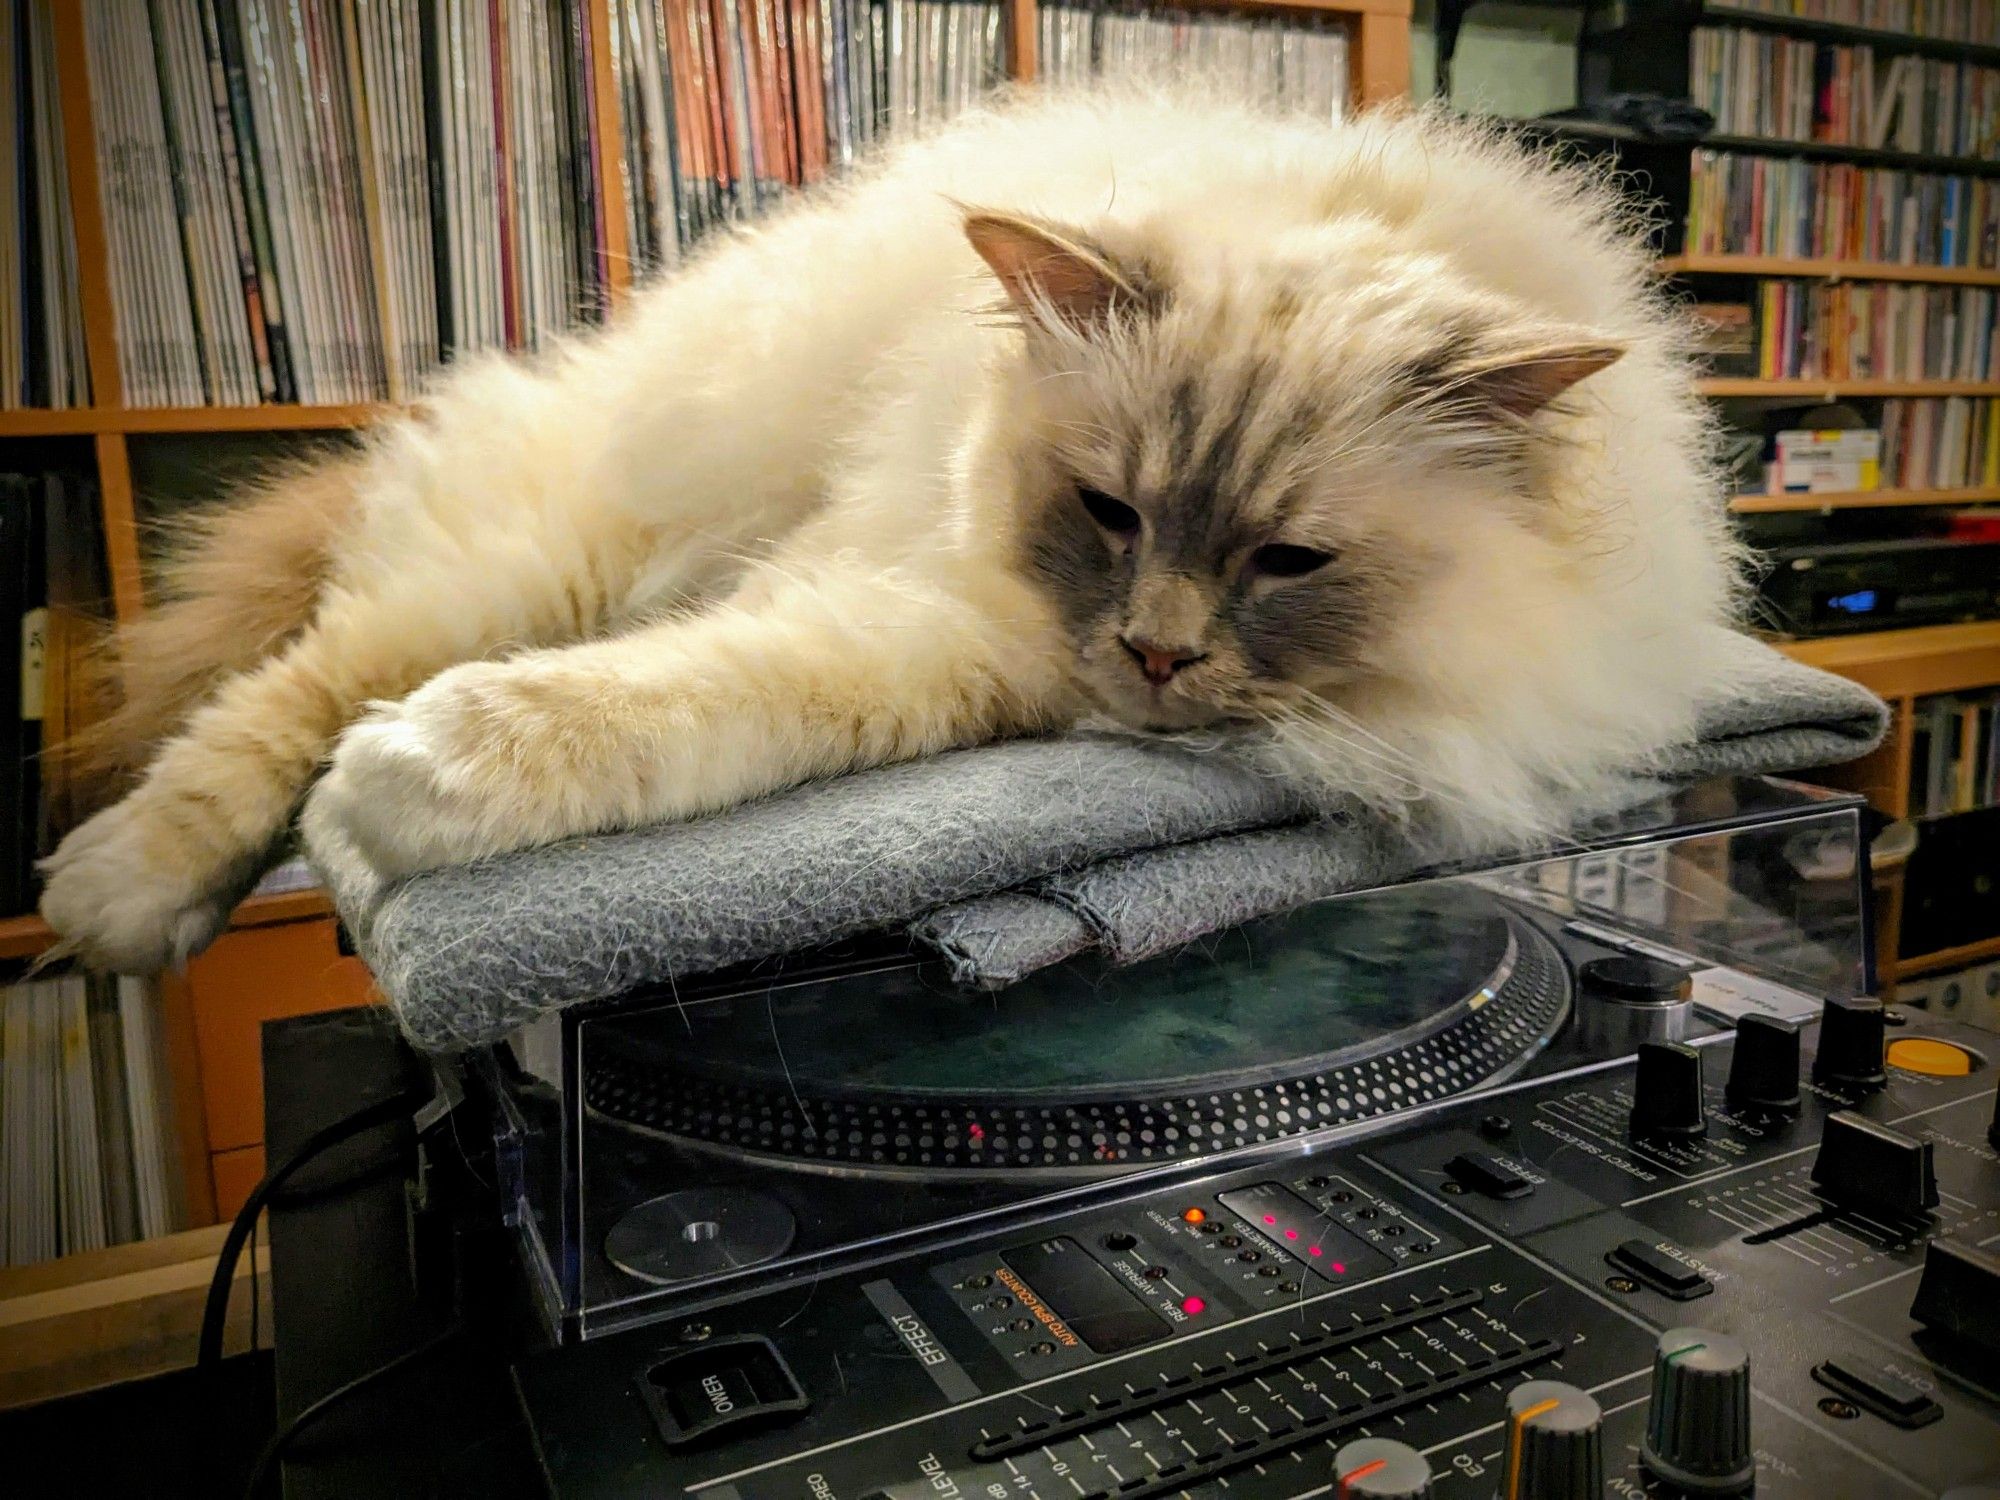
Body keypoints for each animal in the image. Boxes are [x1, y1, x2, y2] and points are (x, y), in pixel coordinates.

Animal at [43, 88, 1736, 976]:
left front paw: (415, 775)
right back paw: (122, 896)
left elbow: (733, 696)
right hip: (555, 551)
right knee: (286, 693)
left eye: (1288, 562)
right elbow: (667, 697)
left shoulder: (982, 656)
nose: (1156, 657)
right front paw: (399, 783)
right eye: (1112, 513)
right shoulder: (977, 612)